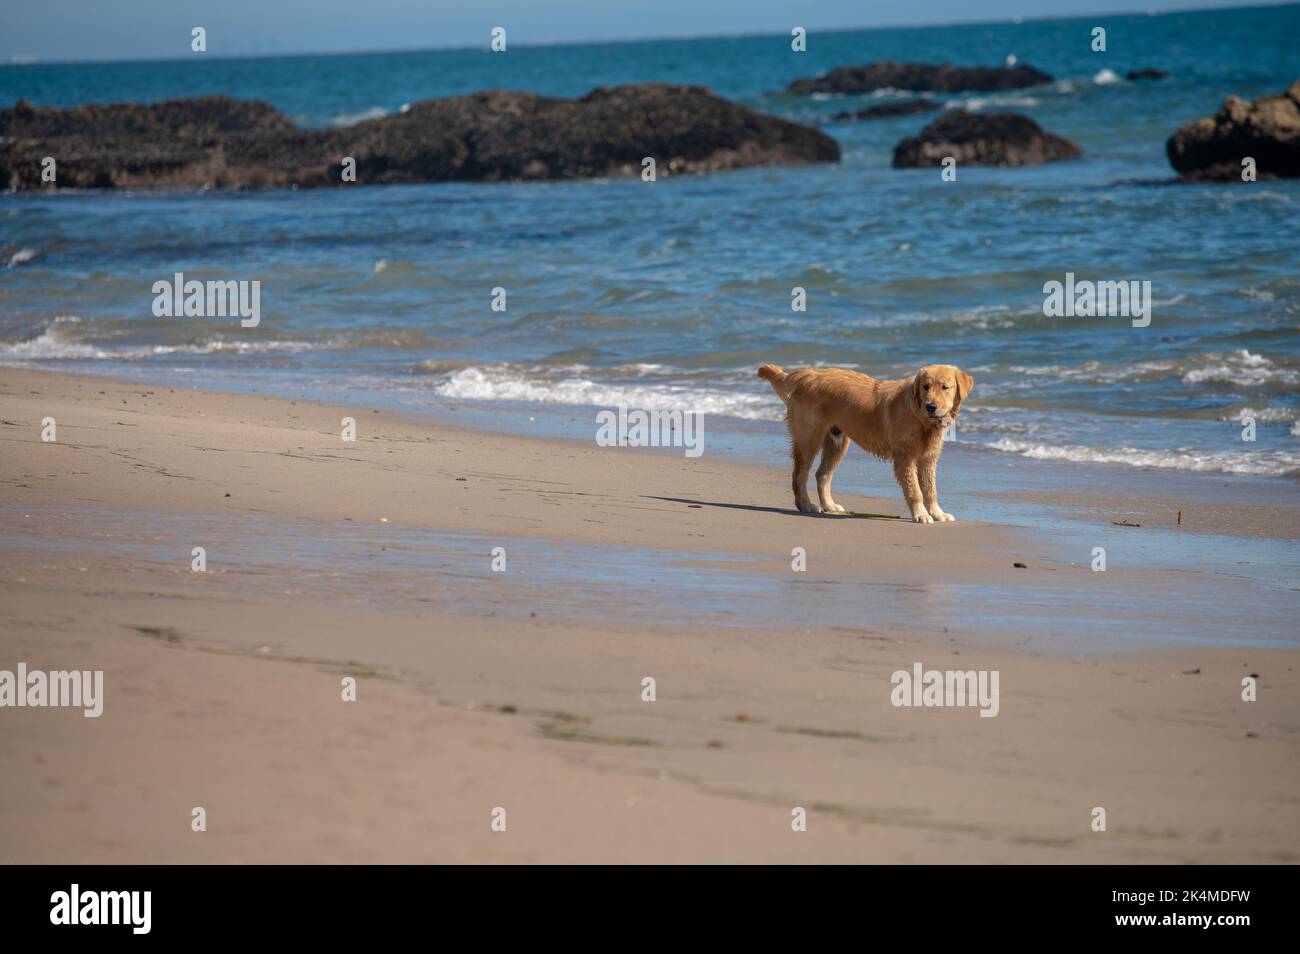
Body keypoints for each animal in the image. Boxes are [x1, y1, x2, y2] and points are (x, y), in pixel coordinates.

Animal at [754, 363, 977, 522]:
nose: (931, 406)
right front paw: (921, 514)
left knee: (822, 475)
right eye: (926, 386)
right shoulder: (904, 459)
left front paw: (937, 514)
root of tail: (802, 375)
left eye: (945, 387)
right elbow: (915, 491)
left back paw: (830, 506)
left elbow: (930, 491)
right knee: (799, 475)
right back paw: (806, 505)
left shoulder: (928, 459)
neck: (921, 418)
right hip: (809, 439)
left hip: (837, 442)